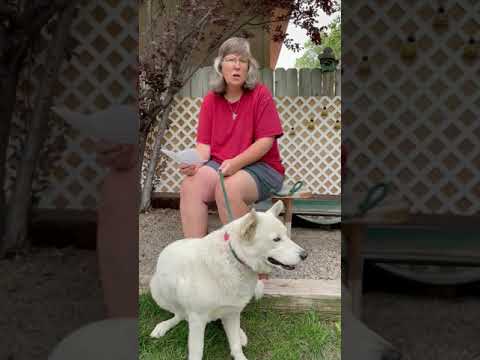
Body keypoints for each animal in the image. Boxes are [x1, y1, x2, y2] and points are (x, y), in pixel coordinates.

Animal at [149, 201, 308, 360]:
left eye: (286, 235)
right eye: (276, 239)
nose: (305, 255)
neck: (234, 258)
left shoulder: (232, 312)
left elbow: (235, 344)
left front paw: (239, 352)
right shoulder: (197, 319)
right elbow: (197, 351)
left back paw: (240, 333)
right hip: (159, 291)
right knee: (179, 314)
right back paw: (163, 326)